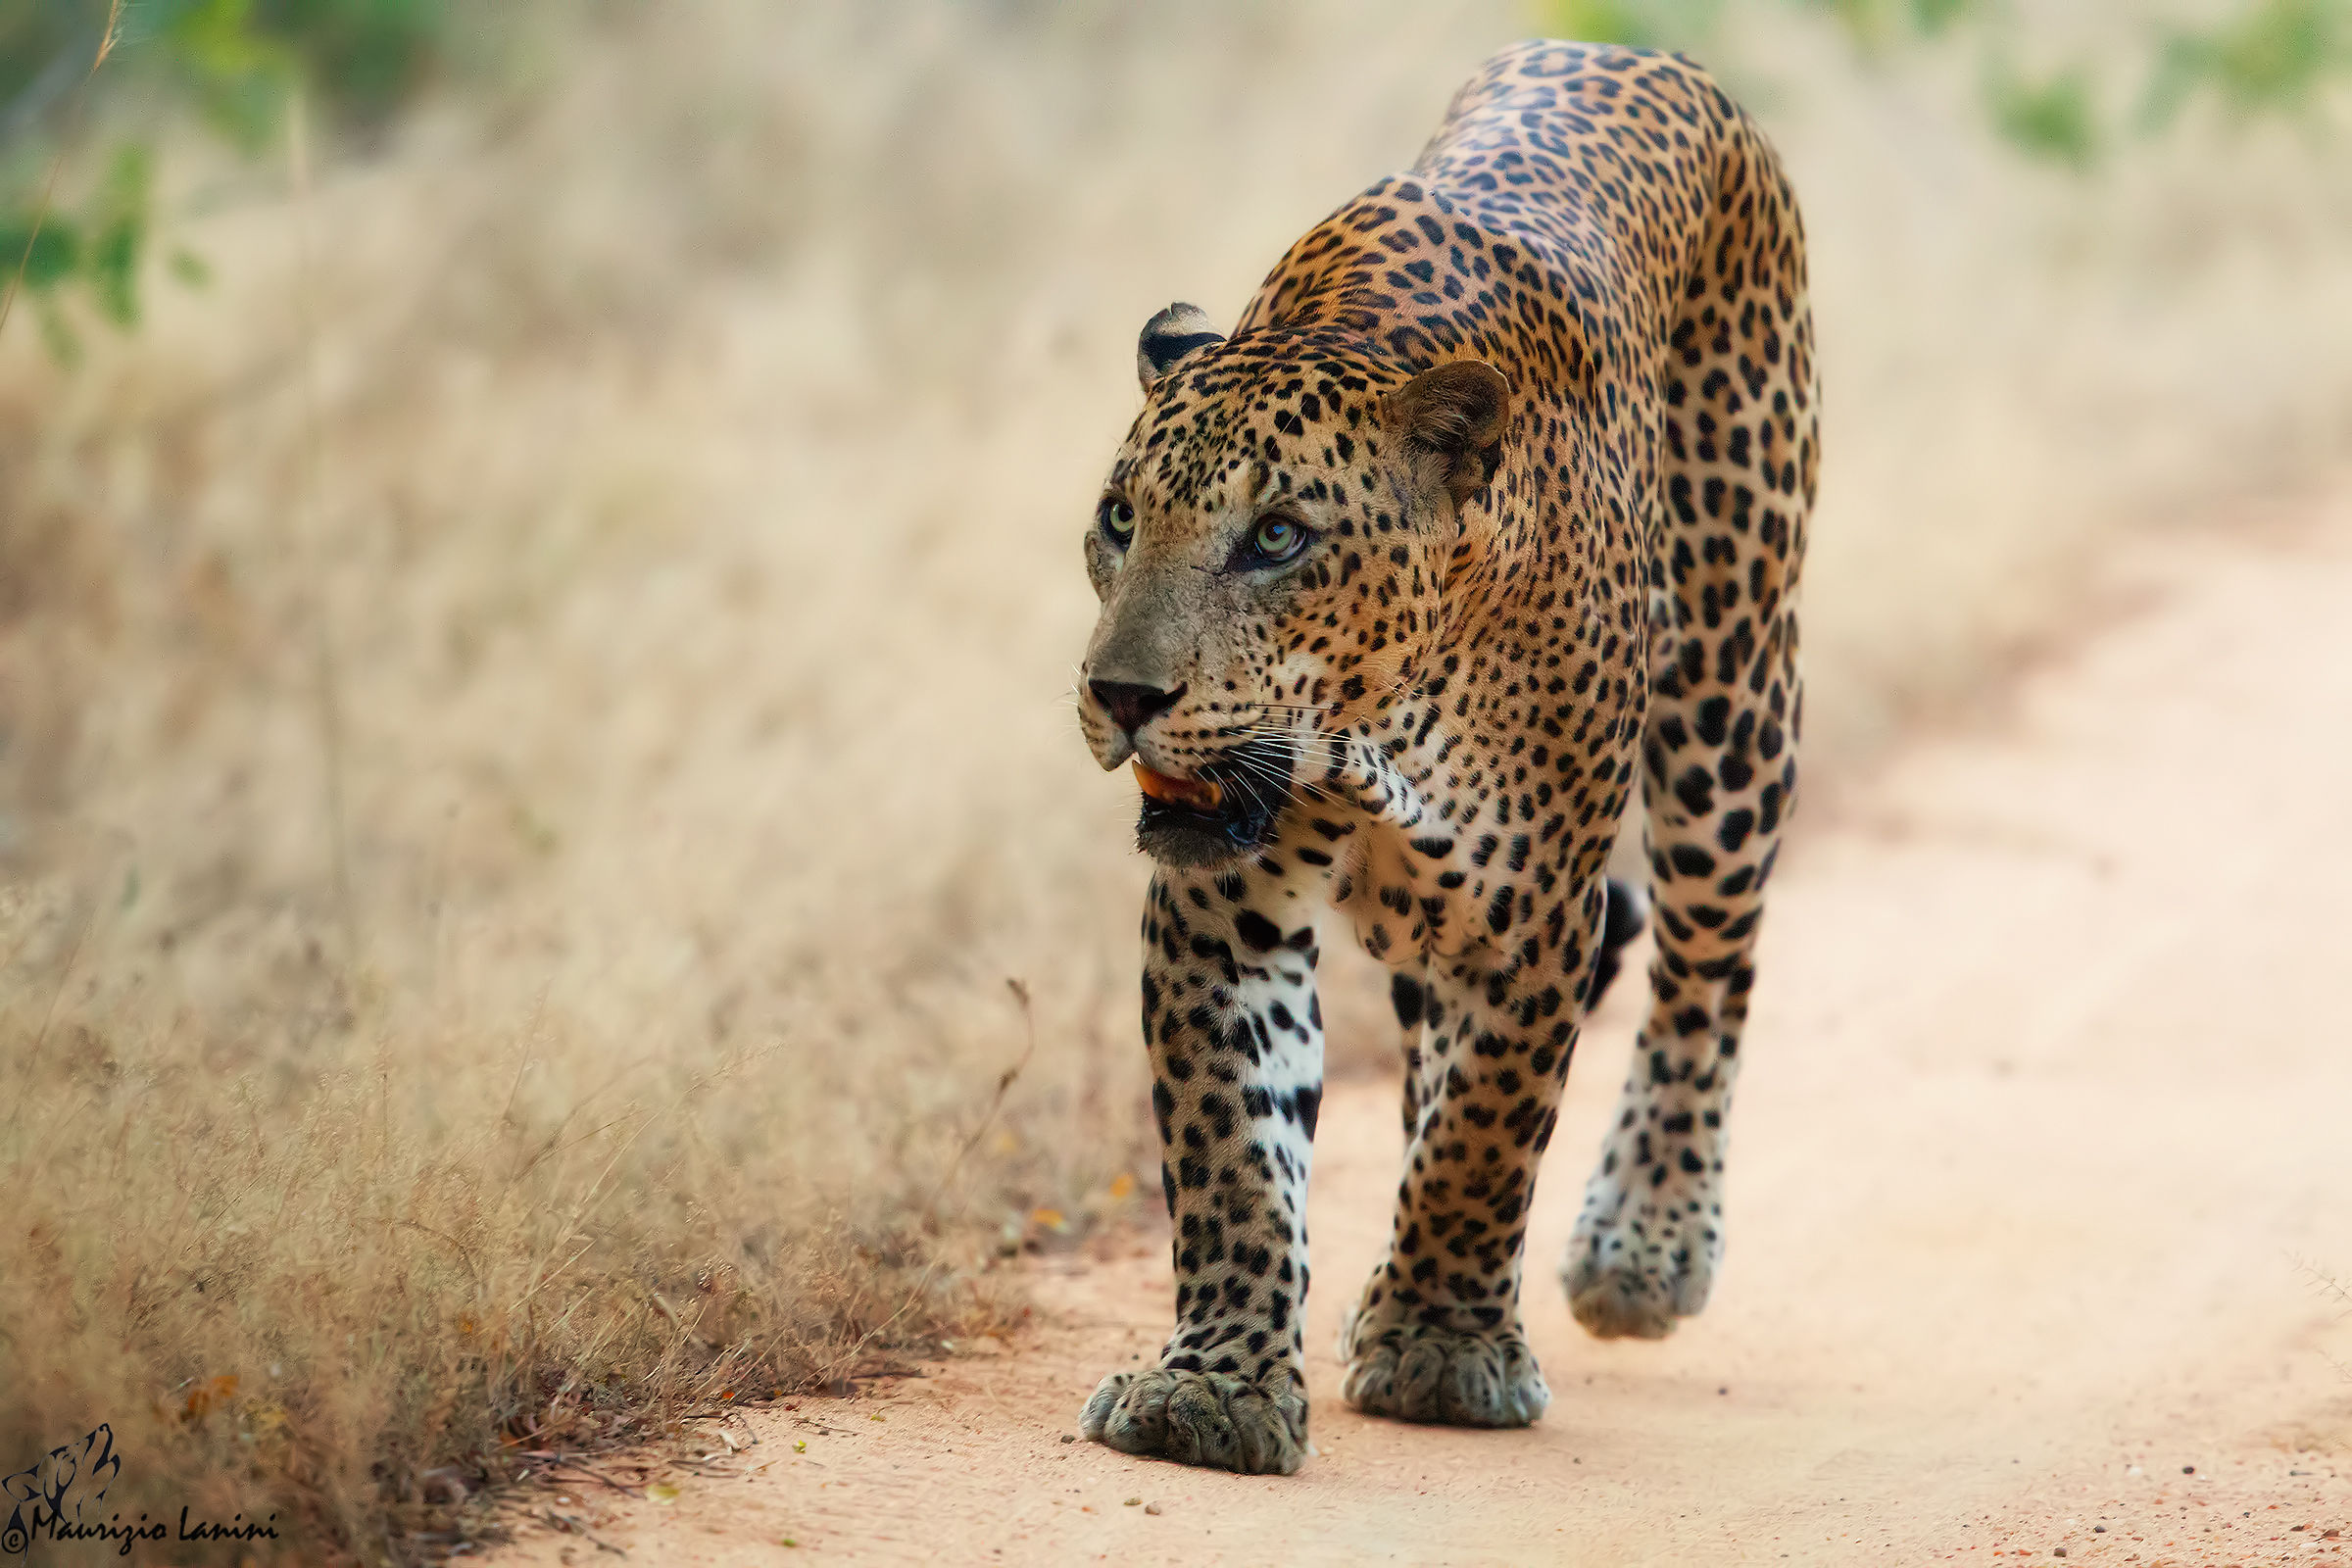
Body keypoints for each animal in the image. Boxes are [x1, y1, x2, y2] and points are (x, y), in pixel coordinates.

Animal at [1069, 39, 1816, 1476]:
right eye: (1120, 519)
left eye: (1278, 538)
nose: (1123, 696)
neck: (1374, 722)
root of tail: (1636, 53)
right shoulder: (1220, 907)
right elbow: (1234, 1149)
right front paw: (1215, 1386)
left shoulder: (1537, 909)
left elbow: (1489, 1130)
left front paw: (1437, 1348)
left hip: (1733, 688)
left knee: (1708, 964)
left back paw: (1644, 1242)